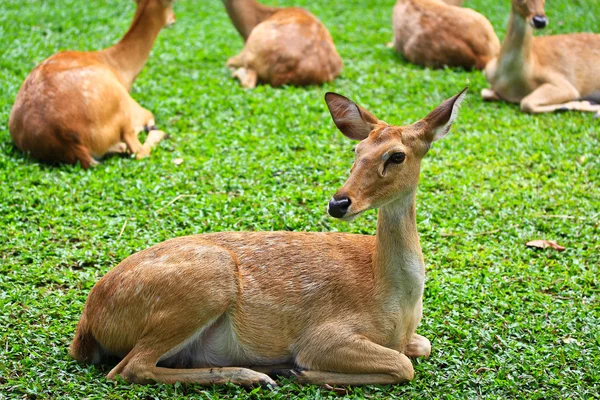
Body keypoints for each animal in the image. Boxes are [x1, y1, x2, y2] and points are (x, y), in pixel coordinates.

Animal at [8, 0, 176, 167]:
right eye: (171, 5)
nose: (174, 19)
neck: (117, 66)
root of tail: (68, 143)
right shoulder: (136, 112)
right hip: (123, 110)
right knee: (138, 151)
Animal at [70, 88, 468, 388]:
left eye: (397, 155)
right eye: (356, 151)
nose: (338, 203)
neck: (396, 302)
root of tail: (89, 322)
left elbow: (421, 347)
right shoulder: (325, 334)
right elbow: (403, 365)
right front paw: (302, 370)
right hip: (205, 284)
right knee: (129, 367)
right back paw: (257, 375)